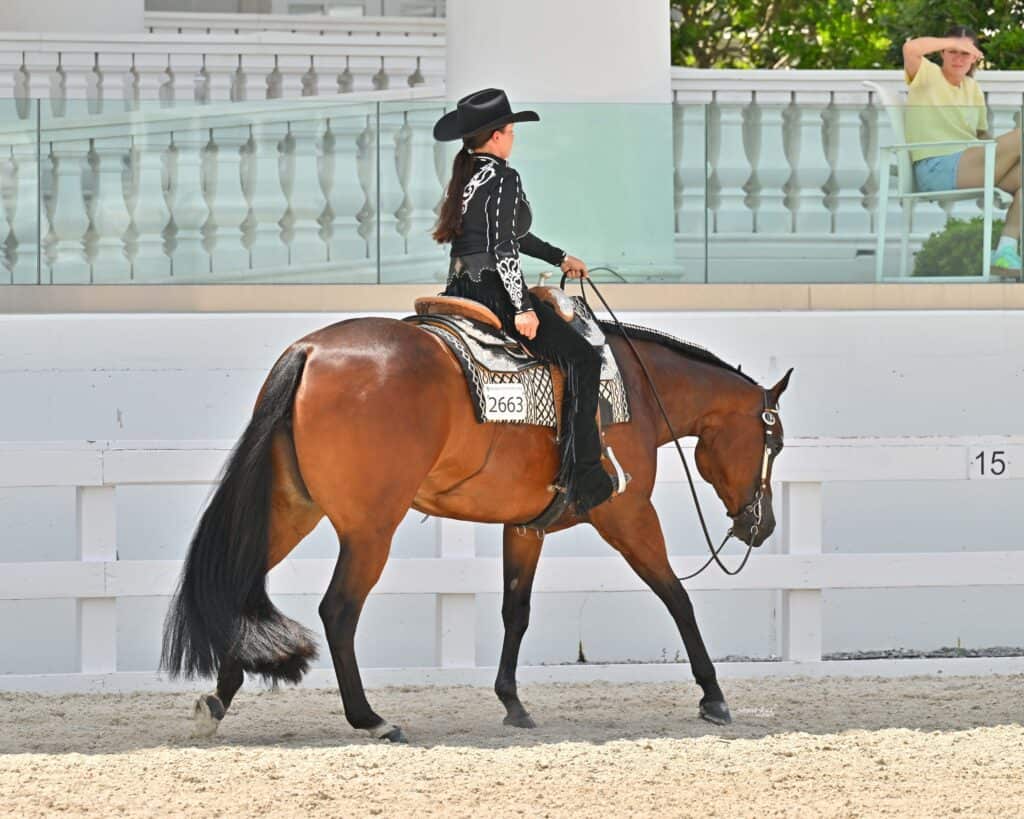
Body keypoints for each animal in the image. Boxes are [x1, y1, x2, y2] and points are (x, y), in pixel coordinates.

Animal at [160, 311, 792, 742]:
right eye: (775, 442)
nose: (761, 526)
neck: (631, 390)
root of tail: (309, 350)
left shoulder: (525, 528)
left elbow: (516, 611)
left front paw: (512, 703)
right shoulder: (628, 515)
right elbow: (676, 596)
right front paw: (713, 696)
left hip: (291, 510)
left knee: (238, 589)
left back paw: (217, 700)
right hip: (369, 531)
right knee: (338, 611)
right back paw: (370, 718)